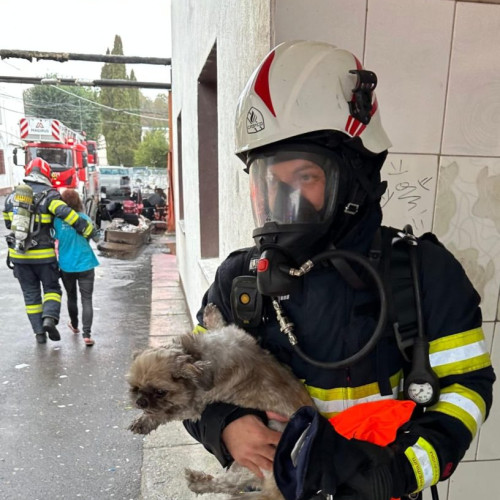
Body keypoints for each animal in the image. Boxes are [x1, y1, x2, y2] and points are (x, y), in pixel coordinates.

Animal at [128, 302, 312, 498]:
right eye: (135, 387)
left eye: (160, 392)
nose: (140, 402)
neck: (196, 354)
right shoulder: (231, 334)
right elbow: (219, 325)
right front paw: (211, 316)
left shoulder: (192, 405)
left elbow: (166, 412)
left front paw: (146, 420)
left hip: (257, 456)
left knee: (229, 485)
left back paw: (198, 482)